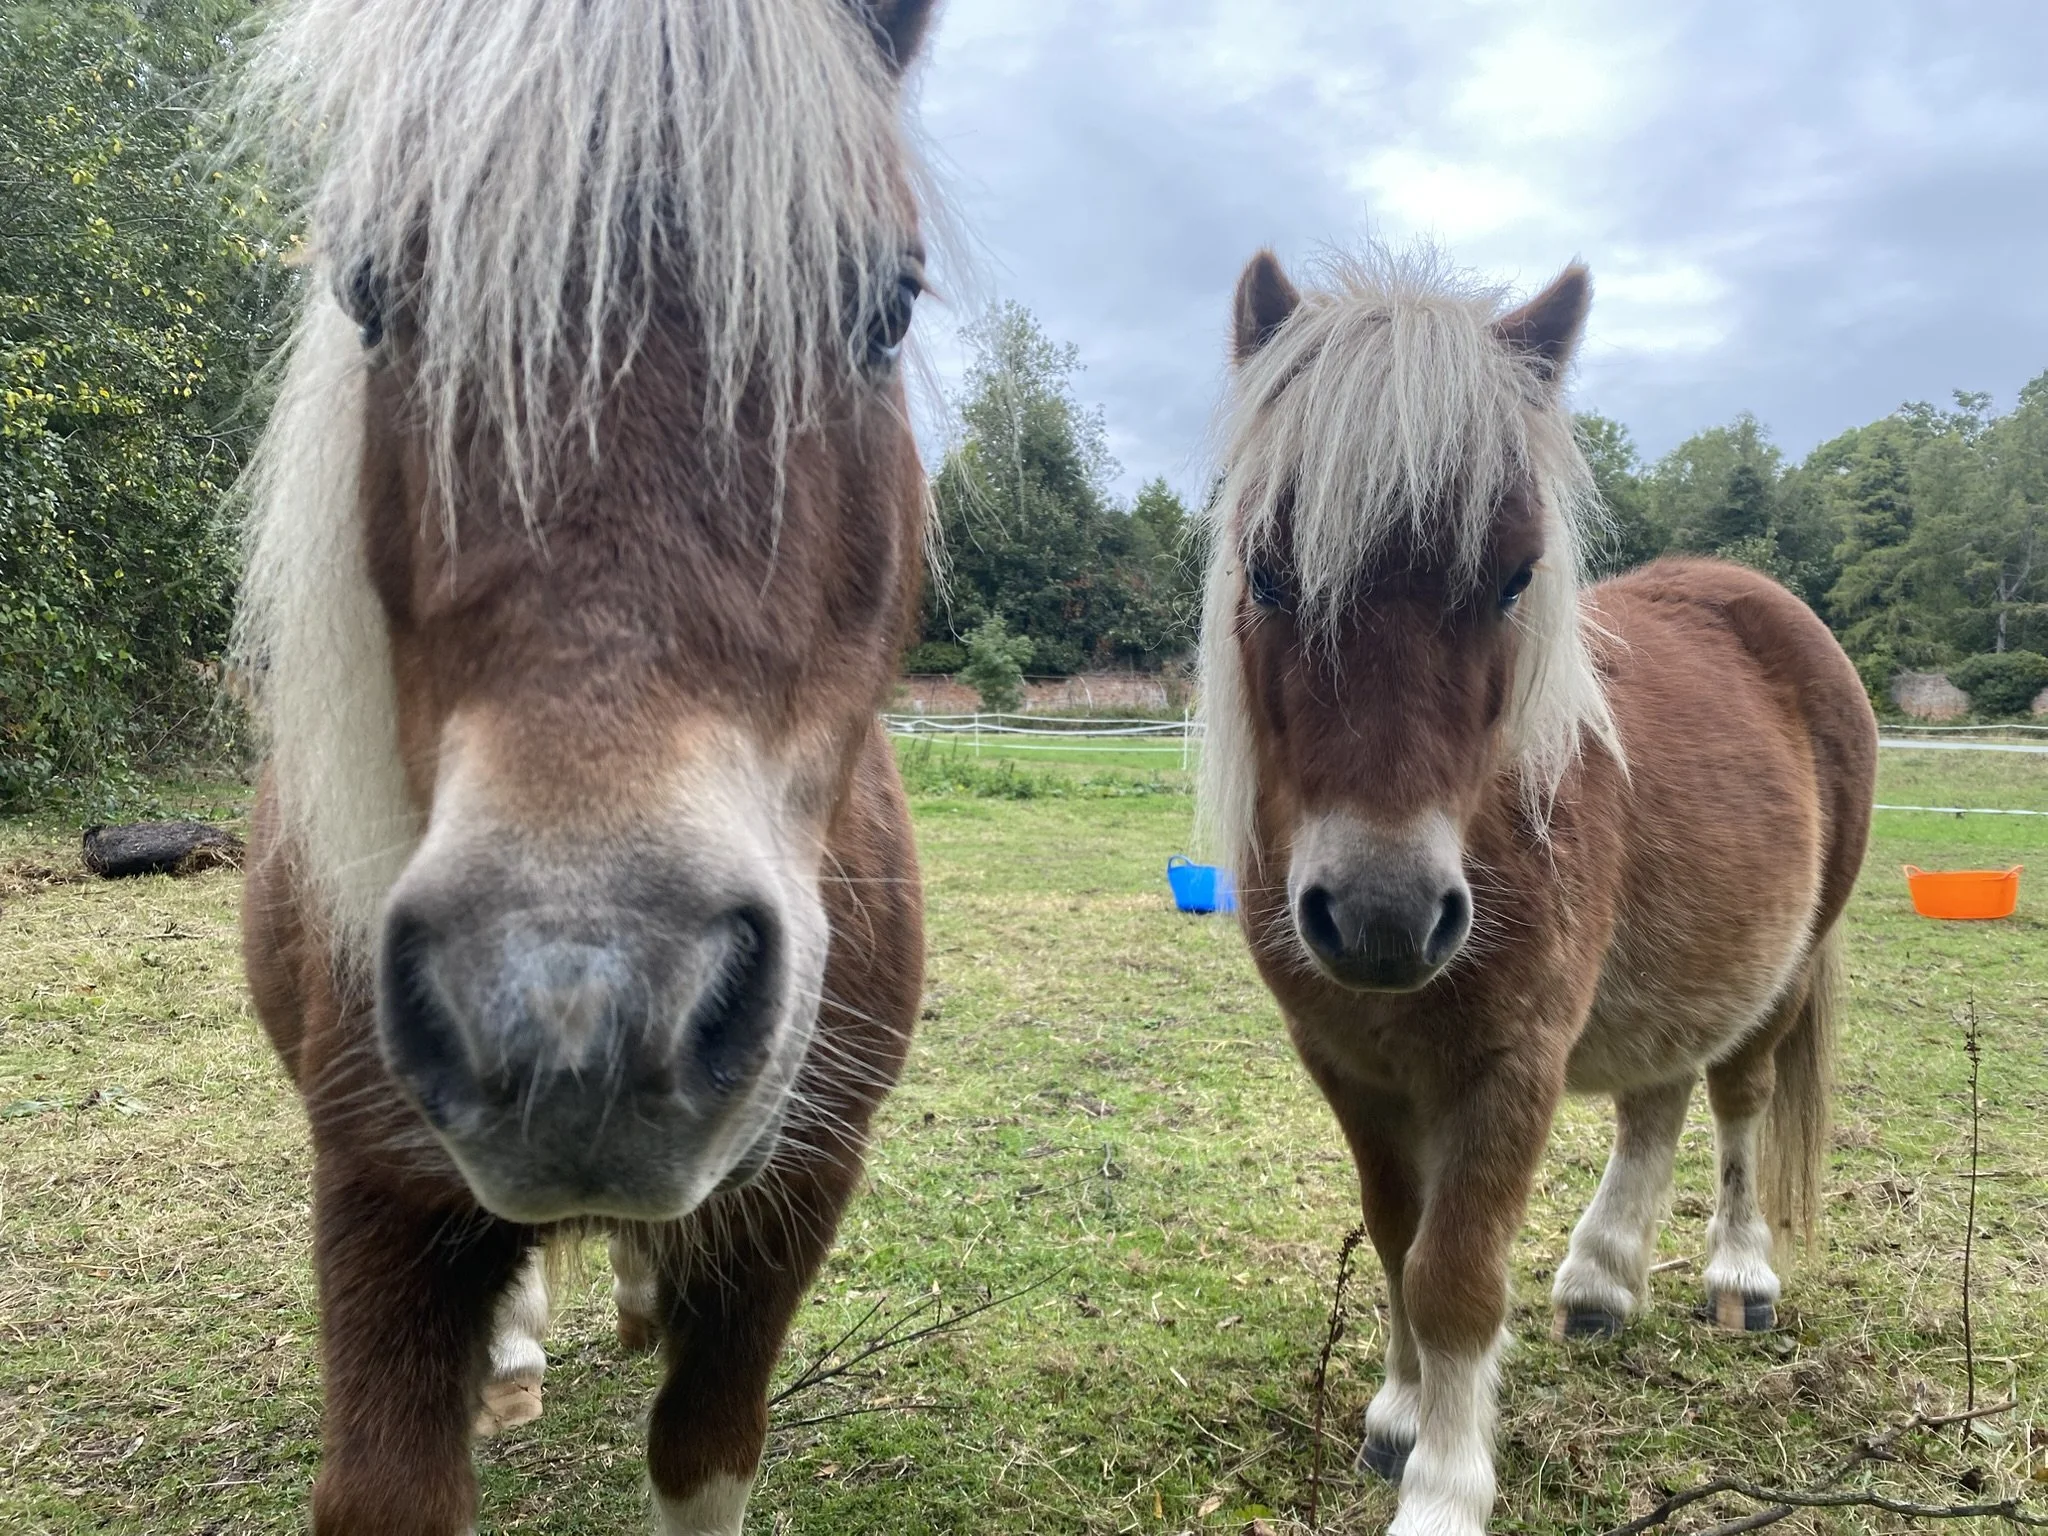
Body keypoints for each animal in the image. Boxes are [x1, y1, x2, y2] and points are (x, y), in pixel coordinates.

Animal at [232, 2, 939, 1530]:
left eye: (886, 307)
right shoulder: (375, 1195)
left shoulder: (793, 1202)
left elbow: (703, 1449)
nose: (579, 1015)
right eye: (372, 297)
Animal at [1197, 246, 1876, 1536]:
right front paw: (1398, 1415)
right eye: (1265, 571)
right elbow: (1395, 1238)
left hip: (1784, 966)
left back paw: (1738, 1274)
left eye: (1516, 577)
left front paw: (1442, 1486)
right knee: (1654, 1101)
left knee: (1736, 1102)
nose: (1382, 917)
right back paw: (1602, 1280)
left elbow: (1454, 1274)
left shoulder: (1509, 1064)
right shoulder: (1349, 1067)